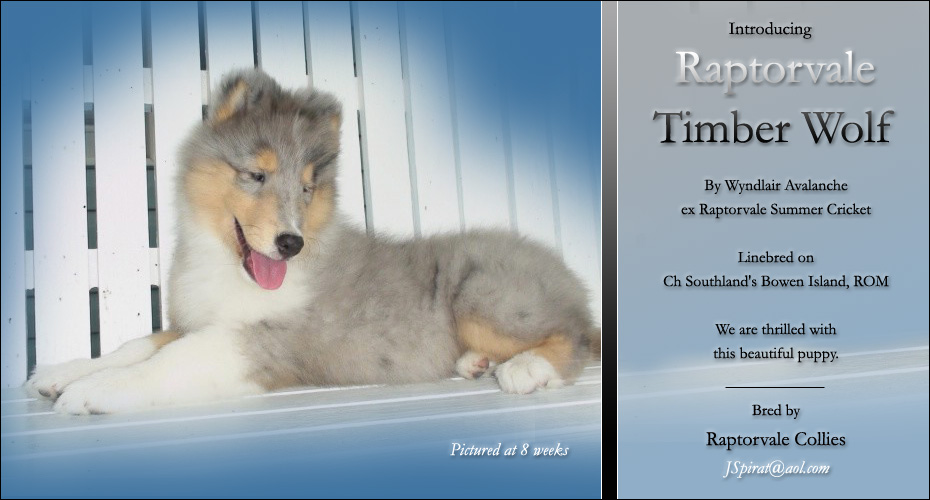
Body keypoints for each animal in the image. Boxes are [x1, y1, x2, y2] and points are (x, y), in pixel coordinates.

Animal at [26, 69, 600, 415]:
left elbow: (169, 361)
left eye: (306, 187)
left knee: (575, 336)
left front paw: (88, 392)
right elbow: (138, 344)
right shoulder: (199, 321)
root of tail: (567, 274)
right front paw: (59, 374)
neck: (225, 263)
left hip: (481, 296)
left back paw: (525, 368)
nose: (290, 244)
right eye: (256, 176)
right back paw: (474, 363)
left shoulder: (261, 340)